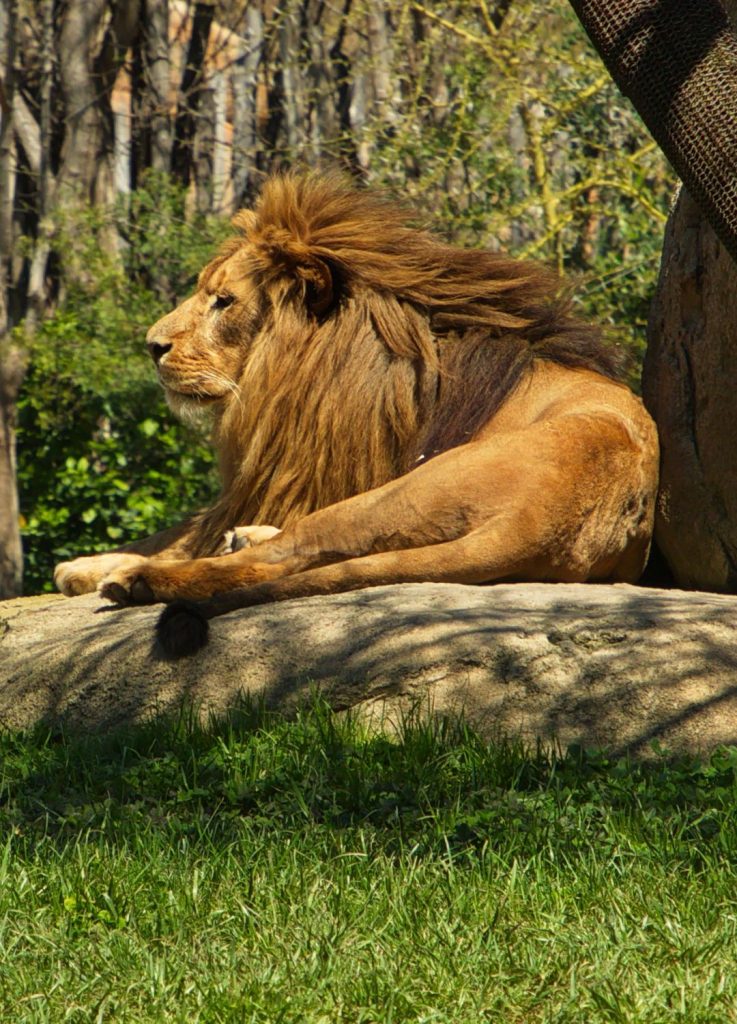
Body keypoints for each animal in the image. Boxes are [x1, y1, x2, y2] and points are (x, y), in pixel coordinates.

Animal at [54, 172, 659, 655]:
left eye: (223, 301)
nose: (152, 346)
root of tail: (539, 523)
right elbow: (181, 528)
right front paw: (86, 563)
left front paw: (102, 566)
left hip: (402, 491)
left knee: (283, 555)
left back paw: (137, 580)